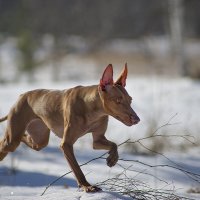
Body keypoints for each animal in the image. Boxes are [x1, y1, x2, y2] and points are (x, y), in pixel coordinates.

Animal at [0, 64, 140, 192]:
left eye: (130, 100)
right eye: (118, 100)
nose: (137, 119)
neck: (92, 108)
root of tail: (22, 96)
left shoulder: (98, 139)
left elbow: (114, 145)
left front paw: (112, 158)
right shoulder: (66, 144)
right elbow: (77, 169)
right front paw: (86, 186)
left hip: (38, 141)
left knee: (23, 139)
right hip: (14, 139)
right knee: (6, 143)